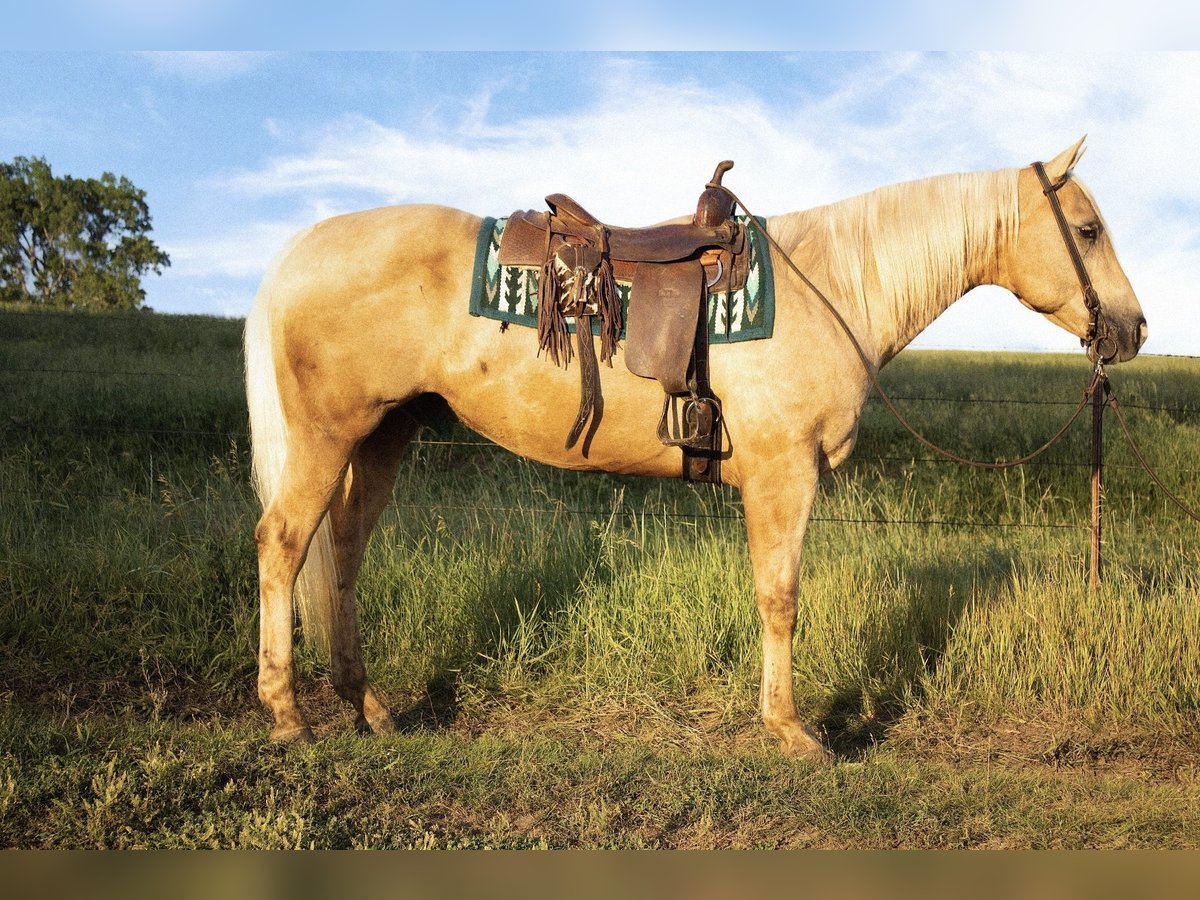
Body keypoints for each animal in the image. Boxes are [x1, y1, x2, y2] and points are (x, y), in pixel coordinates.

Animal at [244, 138, 1147, 761]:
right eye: (1089, 229)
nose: (1133, 329)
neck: (836, 288)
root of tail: (297, 250)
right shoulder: (784, 478)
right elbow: (780, 599)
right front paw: (792, 731)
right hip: (329, 436)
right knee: (283, 546)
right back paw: (288, 716)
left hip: (381, 436)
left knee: (343, 557)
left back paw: (368, 707)